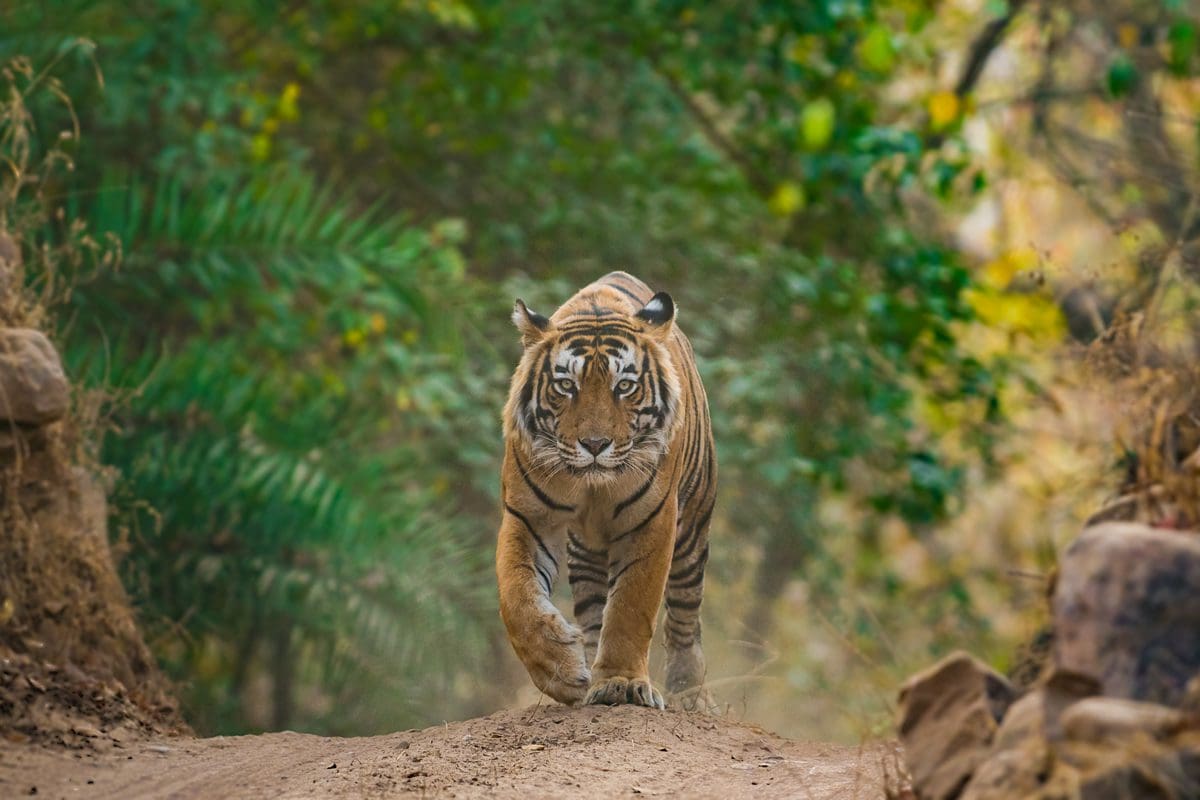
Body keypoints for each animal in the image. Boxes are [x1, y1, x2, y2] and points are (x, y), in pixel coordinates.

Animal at [495, 271, 717, 710]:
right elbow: (517, 597)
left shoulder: (652, 521)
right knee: (594, 607)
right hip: (584, 548)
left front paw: (622, 684)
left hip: (692, 530)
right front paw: (562, 671)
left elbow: (632, 605)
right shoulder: (527, 516)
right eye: (566, 385)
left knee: (685, 616)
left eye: (625, 386)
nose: (595, 444)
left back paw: (691, 695)